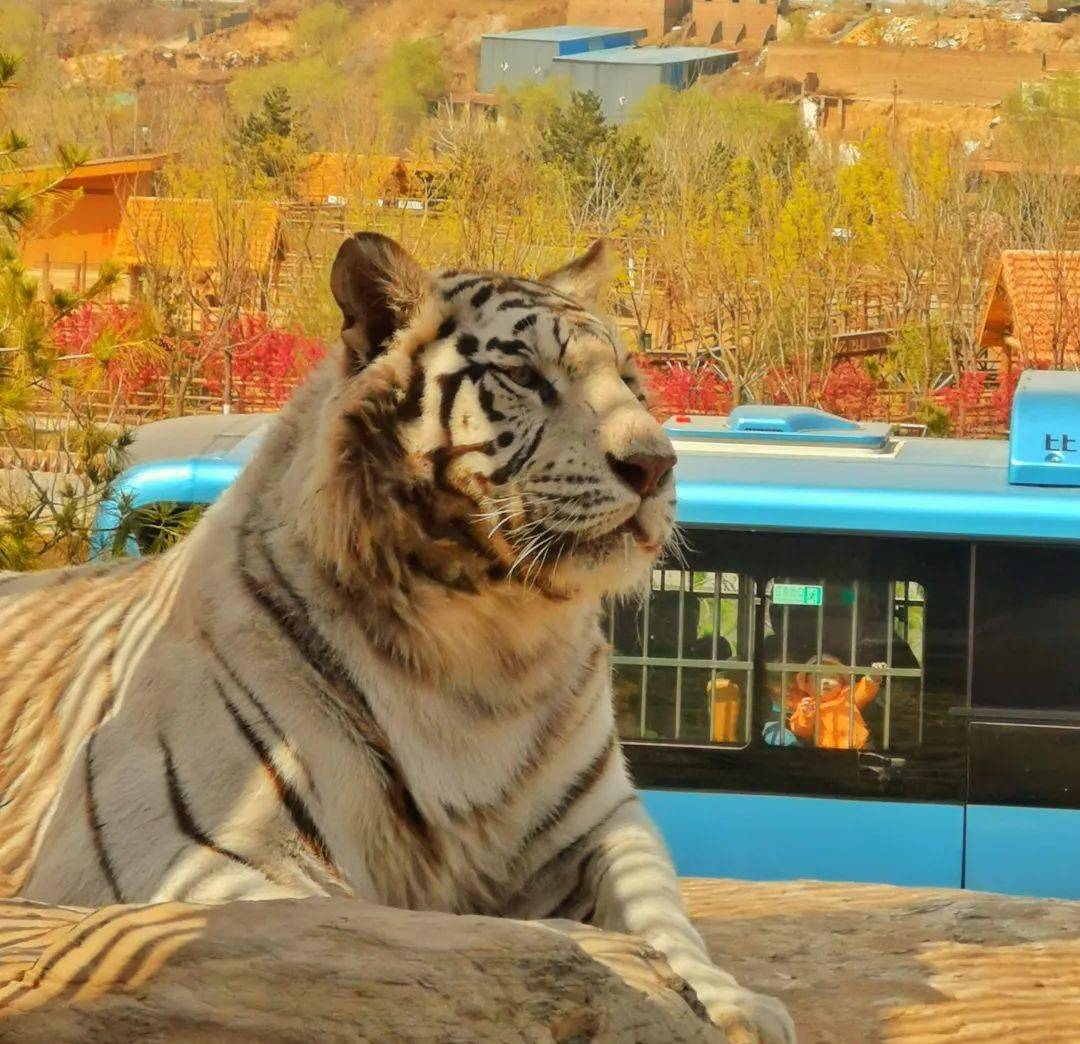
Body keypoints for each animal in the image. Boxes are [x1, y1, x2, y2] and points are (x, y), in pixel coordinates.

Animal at [0, 236, 794, 1044]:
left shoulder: (599, 823)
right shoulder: (186, 850)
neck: (490, 649)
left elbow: (661, 913)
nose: (656, 465)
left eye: (630, 380)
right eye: (525, 376)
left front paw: (730, 1004)